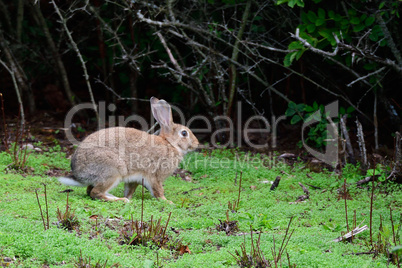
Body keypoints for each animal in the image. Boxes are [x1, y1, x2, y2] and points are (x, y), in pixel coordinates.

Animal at [59, 97, 199, 202]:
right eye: (184, 133)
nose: (196, 143)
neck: (170, 144)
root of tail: (78, 173)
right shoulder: (155, 176)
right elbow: (158, 191)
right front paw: (167, 201)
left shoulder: (135, 179)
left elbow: (130, 190)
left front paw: (129, 197)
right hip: (113, 169)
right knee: (95, 192)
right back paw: (121, 200)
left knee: (90, 190)